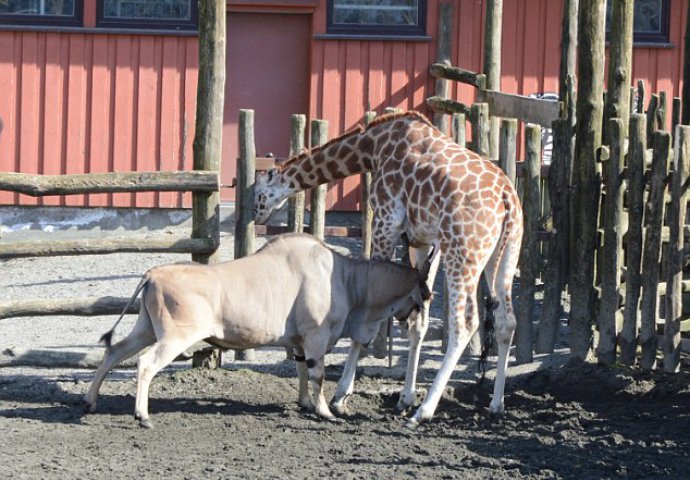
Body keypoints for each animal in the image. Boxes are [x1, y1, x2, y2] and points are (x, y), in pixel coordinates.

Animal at [253, 110, 520, 426]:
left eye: (259, 192)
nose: (256, 215)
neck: (372, 147)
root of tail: (507, 198)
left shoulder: (385, 220)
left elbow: (370, 312)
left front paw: (341, 396)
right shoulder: (422, 241)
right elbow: (419, 321)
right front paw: (404, 398)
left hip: (464, 252)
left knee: (465, 323)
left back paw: (424, 411)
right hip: (504, 254)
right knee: (506, 322)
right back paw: (496, 404)